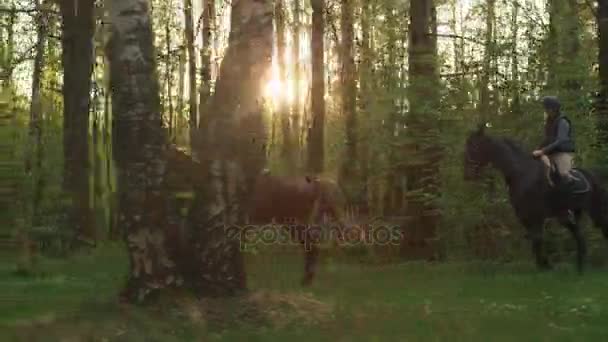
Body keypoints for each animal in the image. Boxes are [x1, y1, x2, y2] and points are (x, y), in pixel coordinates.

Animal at [466, 125, 608, 272]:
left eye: (474, 146)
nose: (468, 175)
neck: (522, 173)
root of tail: (593, 176)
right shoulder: (524, 216)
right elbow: (534, 240)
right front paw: (543, 265)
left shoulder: (536, 215)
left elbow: (537, 239)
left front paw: (545, 265)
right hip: (568, 215)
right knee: (579, 235)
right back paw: (580, 267)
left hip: (595, 210)